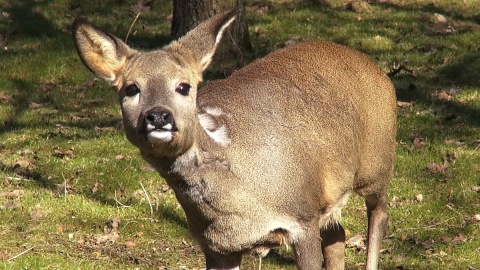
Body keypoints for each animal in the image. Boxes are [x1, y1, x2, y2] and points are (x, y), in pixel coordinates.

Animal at [73, 10, 398, 270]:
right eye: (130, 88)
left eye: (183, 86)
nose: (158, 116)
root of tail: (370, 63)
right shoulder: (217, 245)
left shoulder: (302, 216)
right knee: (338, 233)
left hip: (377, 162)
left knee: (379, 215)